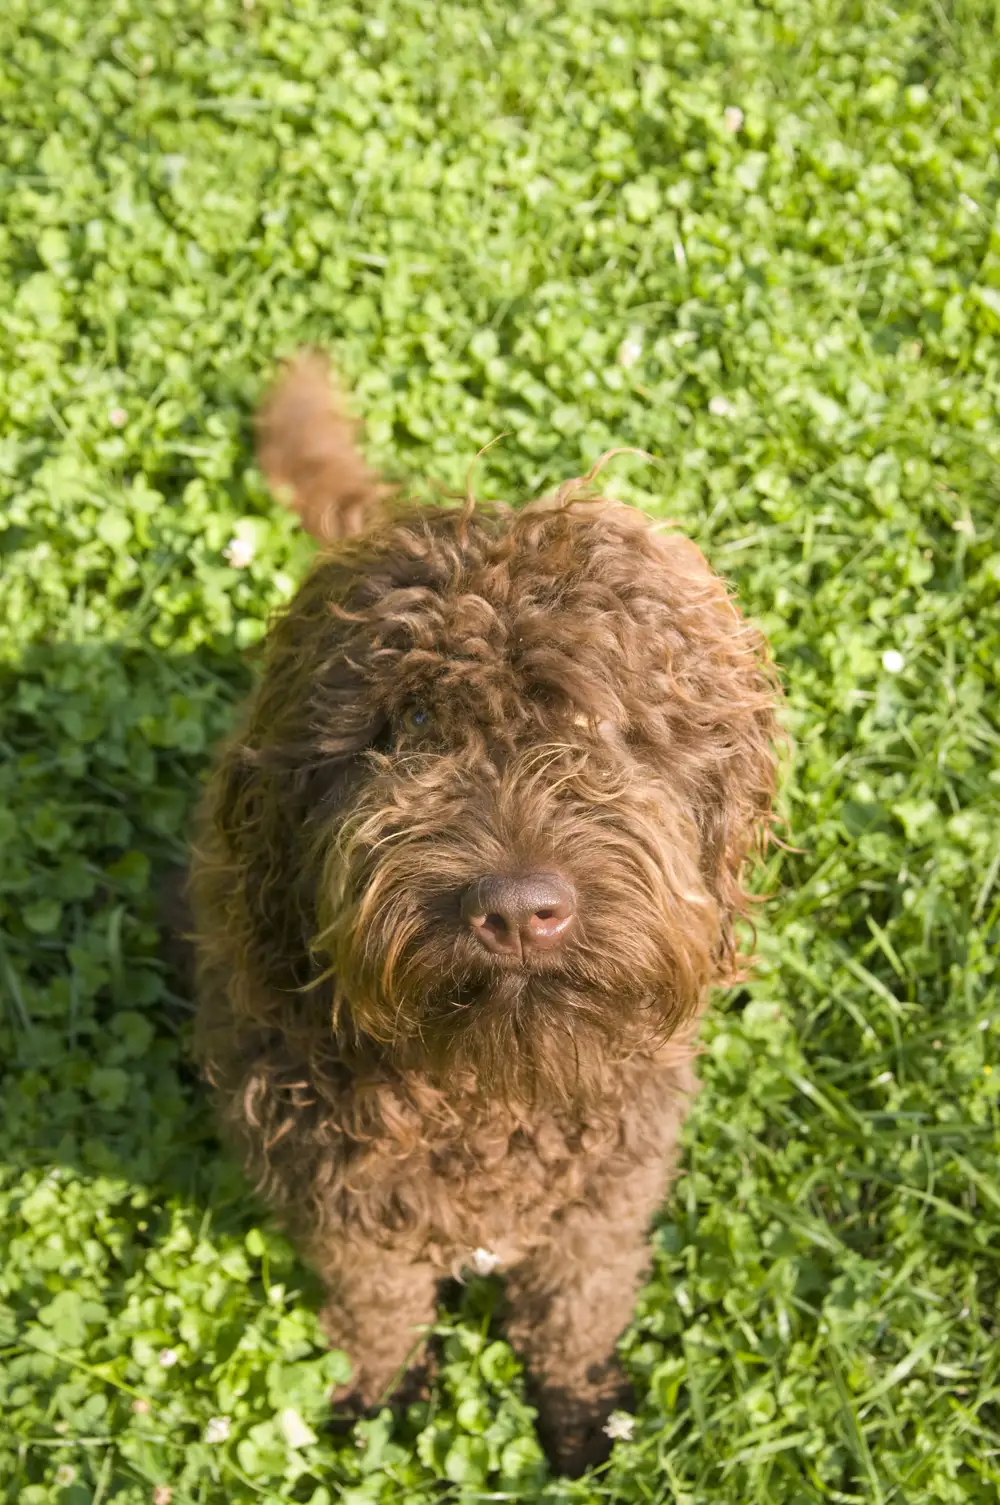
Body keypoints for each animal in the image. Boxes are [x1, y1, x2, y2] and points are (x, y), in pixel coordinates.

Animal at [191, 349, 777, 1468]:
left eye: (599, 724)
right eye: (413, 720)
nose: (516, 910)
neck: (487, 1090)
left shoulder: (603, 1201)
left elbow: (576, 1303)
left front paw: (581, 1413)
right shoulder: (344, 1211)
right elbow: (376, 1307)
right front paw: (381, 1393)